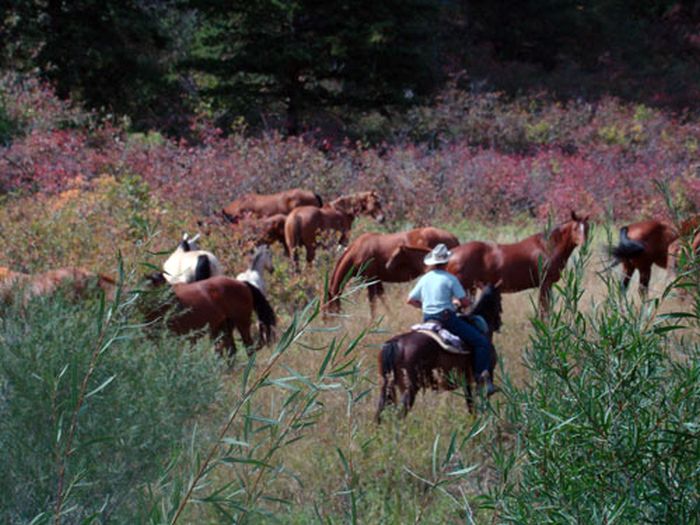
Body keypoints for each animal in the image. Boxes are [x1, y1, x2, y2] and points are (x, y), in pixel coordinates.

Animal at [144, 272, 276, 358]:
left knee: (248, 347)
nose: (173, 299)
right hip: (225, 326)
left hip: (241, 322)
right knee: (231, 349)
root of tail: (242, 283)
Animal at [328, 226, 460, 316]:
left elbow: (373, 302)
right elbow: (382, 298)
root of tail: (453, 237)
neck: (359, 249)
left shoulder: (370, 280)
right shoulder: (377, 280)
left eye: (329, 306)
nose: (328, 321)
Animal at [374, 282, 500, 422]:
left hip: (387, 386)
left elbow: (471, 406)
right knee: (399, 414)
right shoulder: (484, 376)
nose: (499, 324)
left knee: (379, 412)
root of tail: (395, 343)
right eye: (499, 300)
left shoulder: (466, 382)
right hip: (409, 388)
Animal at [446, 211, 588, 314]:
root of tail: (451, 254)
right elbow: (544, 312)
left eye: (587, 227)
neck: (547, 247)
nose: (584, 246)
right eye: (575, 228)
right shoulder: (545, 284)